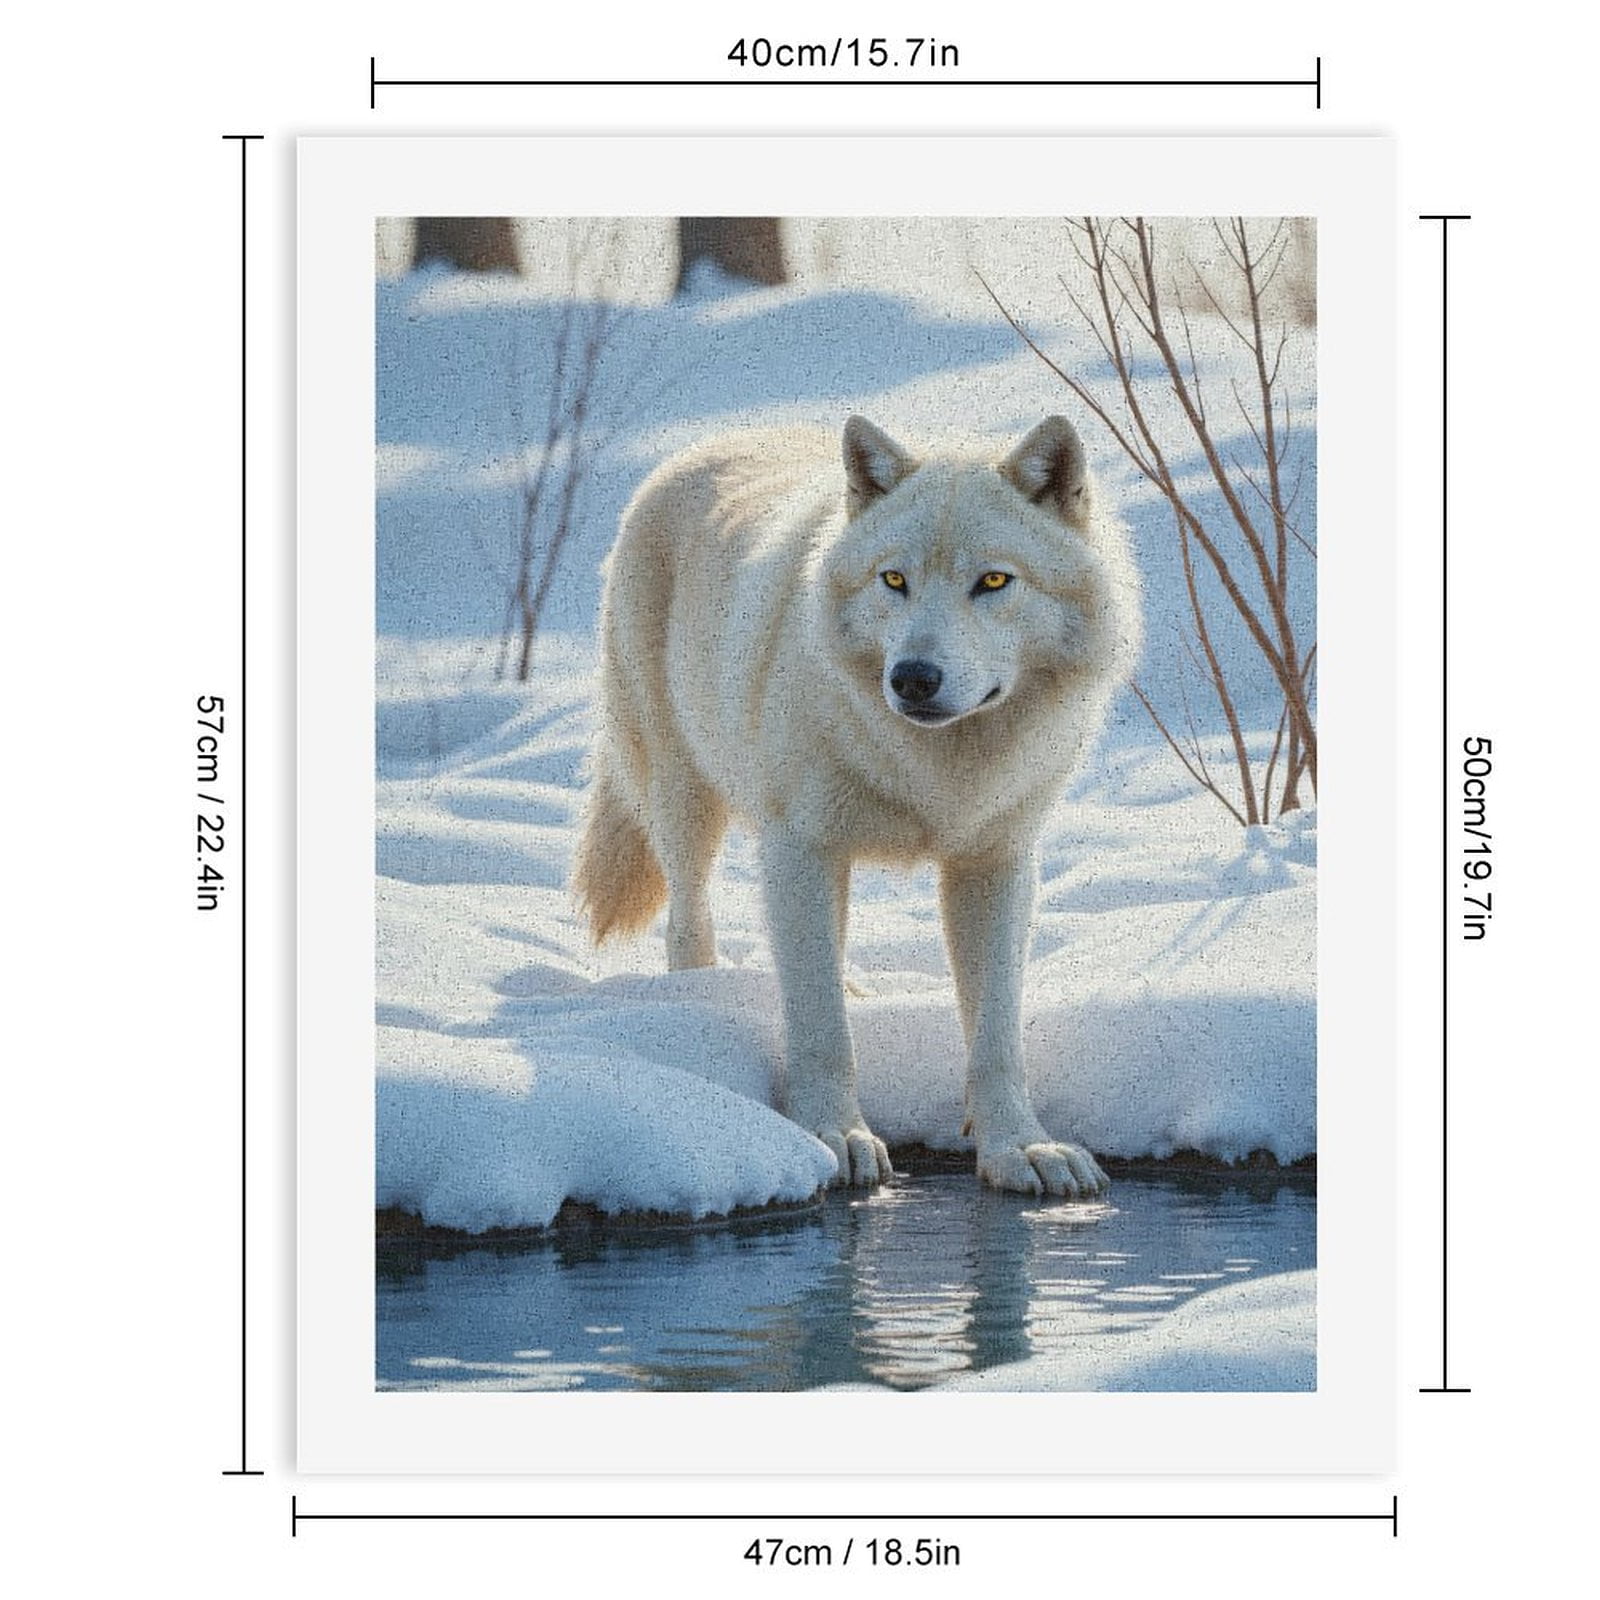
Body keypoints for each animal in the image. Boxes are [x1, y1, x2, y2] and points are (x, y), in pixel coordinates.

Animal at [573, 415, 1141, 1195]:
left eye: (994, 581)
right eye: (893, 579)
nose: (913, 678)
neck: (934, 771)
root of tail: (710, 441)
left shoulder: (995, 861)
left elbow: (996, 1033)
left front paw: (1021, 1148)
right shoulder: (797, 849)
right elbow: (820, 1027)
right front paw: (833, 1137)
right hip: (686, 798)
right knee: (689, 920)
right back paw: (698, 998)